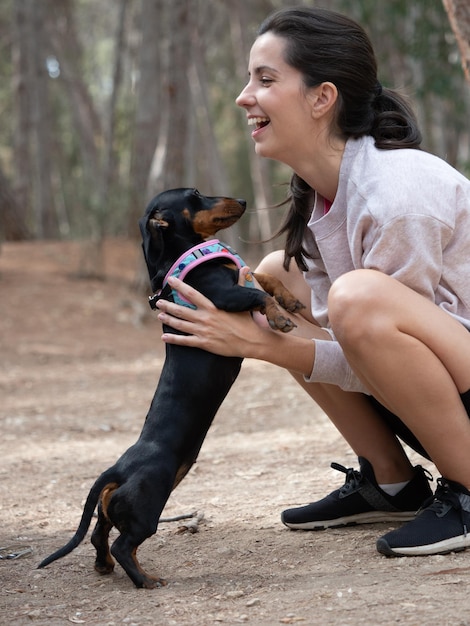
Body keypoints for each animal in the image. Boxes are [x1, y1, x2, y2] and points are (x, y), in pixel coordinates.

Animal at [39, 186, 304, 584]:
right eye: (194, 195)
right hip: (149, 507)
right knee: (124, 543)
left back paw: (106, 566)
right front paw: (279, 317)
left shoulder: (242, 276)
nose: (243, 201)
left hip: (120, 505)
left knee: (101, 533)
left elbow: (265, 279)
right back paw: (146, 580)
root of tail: (119, 469)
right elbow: (259, 294)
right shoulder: (223, 296)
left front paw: (290, 300)